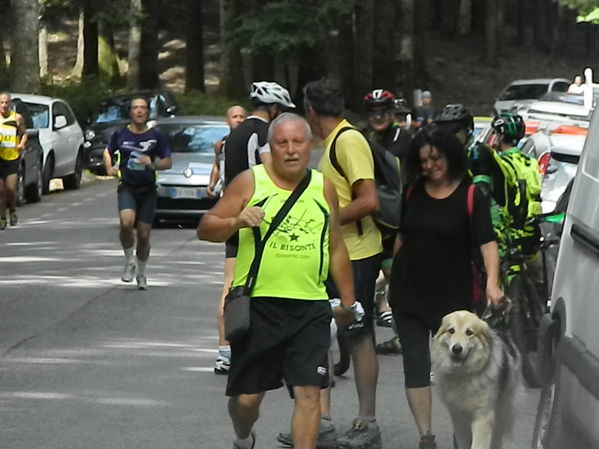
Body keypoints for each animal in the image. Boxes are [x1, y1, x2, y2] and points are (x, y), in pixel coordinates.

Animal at [432, 310, 520, 448]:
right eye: (451, 330)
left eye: (469, 332)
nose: (457, 349)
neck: (463, 374)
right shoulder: (458, 417)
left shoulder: (483, 417)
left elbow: (478, 444)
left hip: (503, 408)